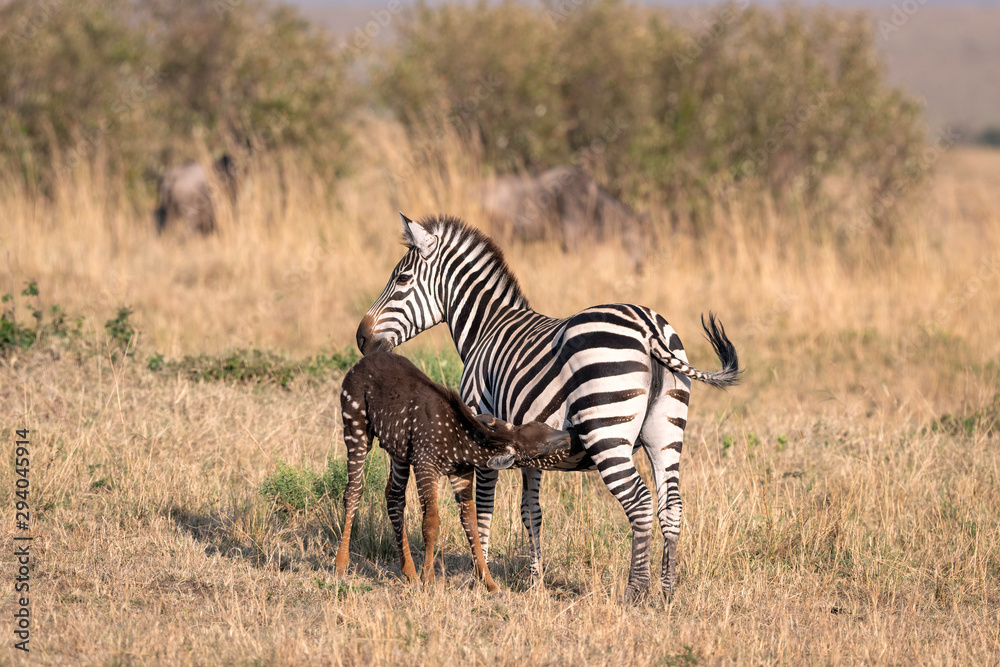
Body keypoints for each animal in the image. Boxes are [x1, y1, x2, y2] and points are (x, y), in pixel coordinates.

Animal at [356, 213, 742, 601]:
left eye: (402, 279)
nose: (361, 338)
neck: (486, 329)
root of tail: (647, 327)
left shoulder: (482, 428)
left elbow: (483, 508)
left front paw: (481, 576)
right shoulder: (530, 445)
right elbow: (531, 511)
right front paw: (534, 578)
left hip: (607, 432)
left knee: (640, 504)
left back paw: (635, 591)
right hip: (666, 433)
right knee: (671, 507)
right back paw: (667, 591)